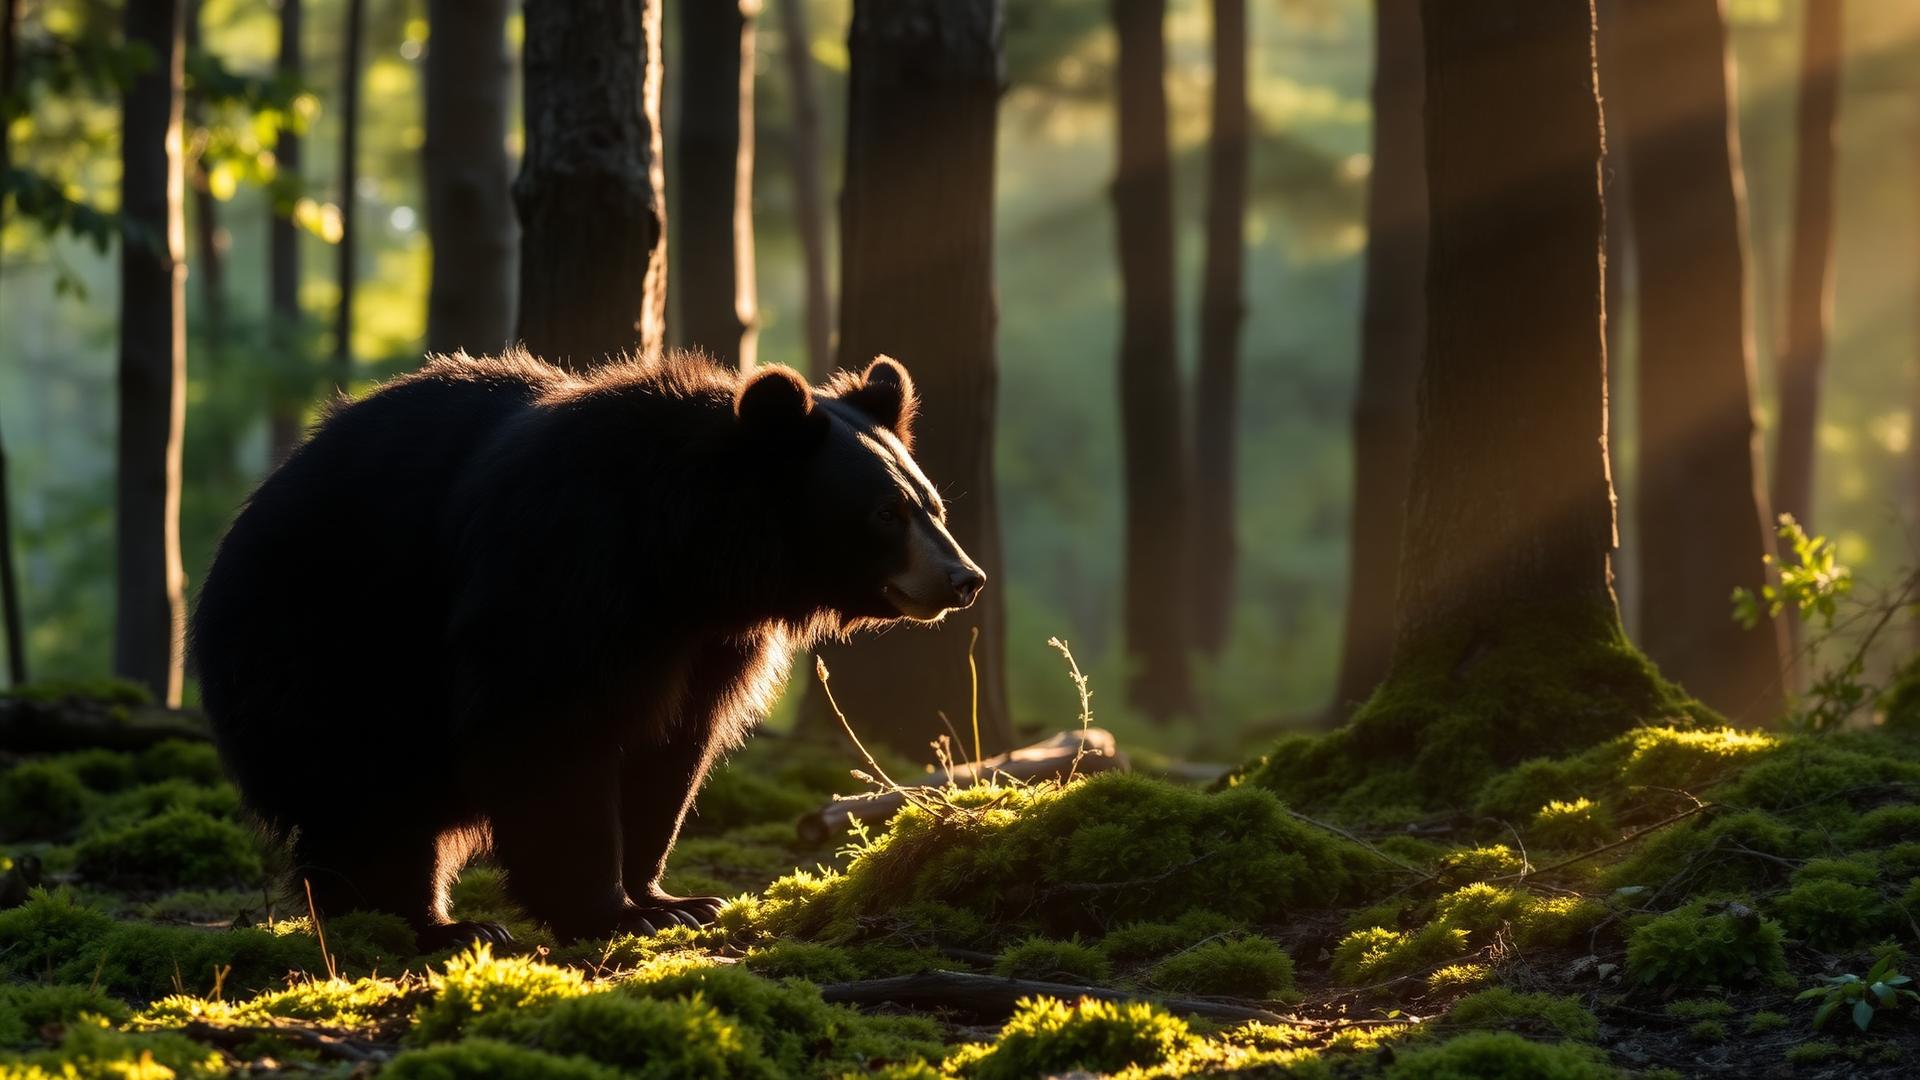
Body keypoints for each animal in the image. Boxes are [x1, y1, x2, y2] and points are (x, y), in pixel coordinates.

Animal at [189, 349, 985, 945]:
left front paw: (672, 900)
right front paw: (606, 909)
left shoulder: (707, 643)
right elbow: (550, 727)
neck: (690, 562)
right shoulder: (564, 564)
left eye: (933, 505)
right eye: (886, 513)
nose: (965, 578)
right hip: (327, 651)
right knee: (370, 797)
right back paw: (432, 922)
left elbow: (673, 750)